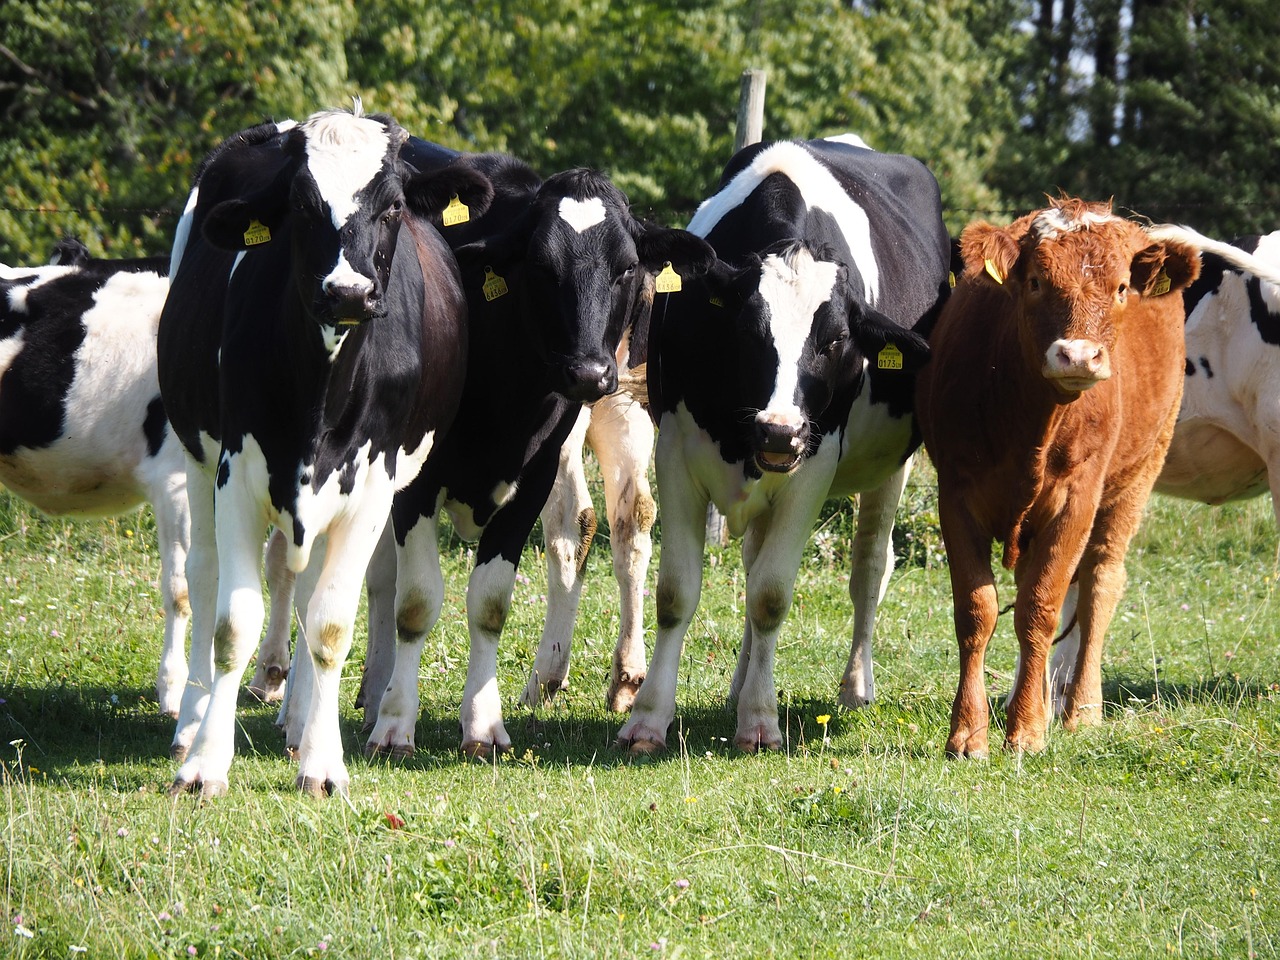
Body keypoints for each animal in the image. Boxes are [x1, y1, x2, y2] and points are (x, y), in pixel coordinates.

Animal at [157, 105, 491, 797]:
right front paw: (205, 763)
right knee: (203, 579)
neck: (322, 395)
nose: (348, 293)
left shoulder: (373, 489)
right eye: (301, 207)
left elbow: (331, 624)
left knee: (309, 593)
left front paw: (322, 763)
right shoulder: (236, 475)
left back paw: (299, 721)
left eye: (394, 208)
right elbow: (233, 623)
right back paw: (191, 722)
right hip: (194, 456)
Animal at [356, 148, 716, 760]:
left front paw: (482, 724)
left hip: (621, 413)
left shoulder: (535, 472)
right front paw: (395, 723)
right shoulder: (414, 481)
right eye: (542, 267)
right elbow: (416, 600)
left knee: (615, 520)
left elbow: (489, 602)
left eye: (626, 267)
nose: (589, 371)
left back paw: (608, 675)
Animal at [614, 135, 951, 754]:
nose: (778, 429)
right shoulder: (675, 451)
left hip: (893, 464)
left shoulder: (812, 468)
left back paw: (855, 687)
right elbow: (677, 593)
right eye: (748, 332)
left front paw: (760, 720)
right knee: (753, 562)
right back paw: (739, 683)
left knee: (870, 566)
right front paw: (648, 718)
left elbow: (771, 594)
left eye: (836, 340)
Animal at [916, 197, 1208, 758]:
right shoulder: (956, 494)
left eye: (1121, 287)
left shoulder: (1079, 498)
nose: (1077, 355)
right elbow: (977, 609)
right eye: (1035, 281)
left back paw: (1080, 710)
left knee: (1099, 584)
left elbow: (1040, 606)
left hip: (1139, 475)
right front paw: (969, 731)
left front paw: (1027, 729)